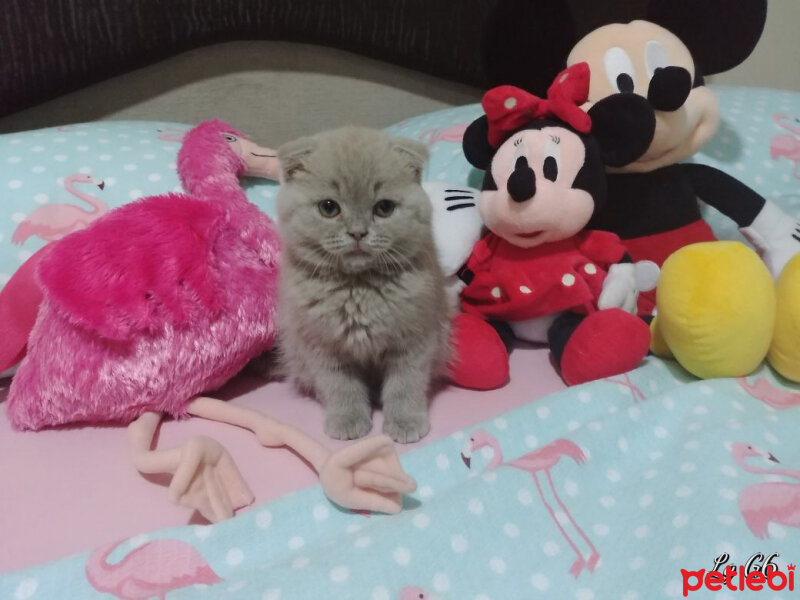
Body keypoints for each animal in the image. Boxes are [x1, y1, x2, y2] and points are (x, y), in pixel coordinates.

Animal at [276, 126, 450, 442]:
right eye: (329, 208)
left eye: (384, 208)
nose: (358, 232)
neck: (357, 286)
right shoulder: (322, 344)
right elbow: (340, 387)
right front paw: (348, 421)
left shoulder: (415, 338)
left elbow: (406, 384)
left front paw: (405, 422)